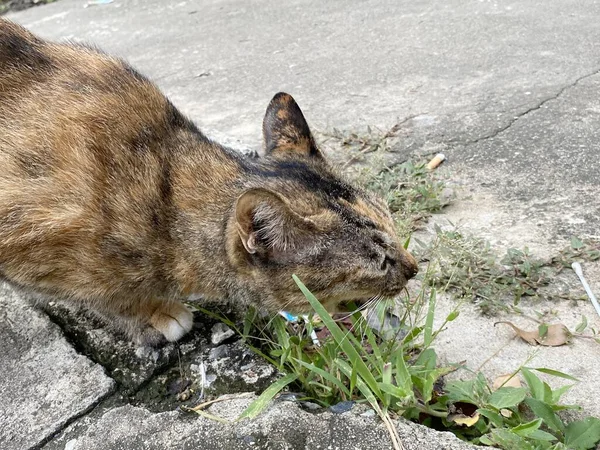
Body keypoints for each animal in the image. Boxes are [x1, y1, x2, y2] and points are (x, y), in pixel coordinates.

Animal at [0, 19, 418, 346]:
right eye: (380, 261)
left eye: (395, 228)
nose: (415, 268)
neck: (163, 187)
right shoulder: (32, 250)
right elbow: (105, 299)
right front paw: (154, 313)